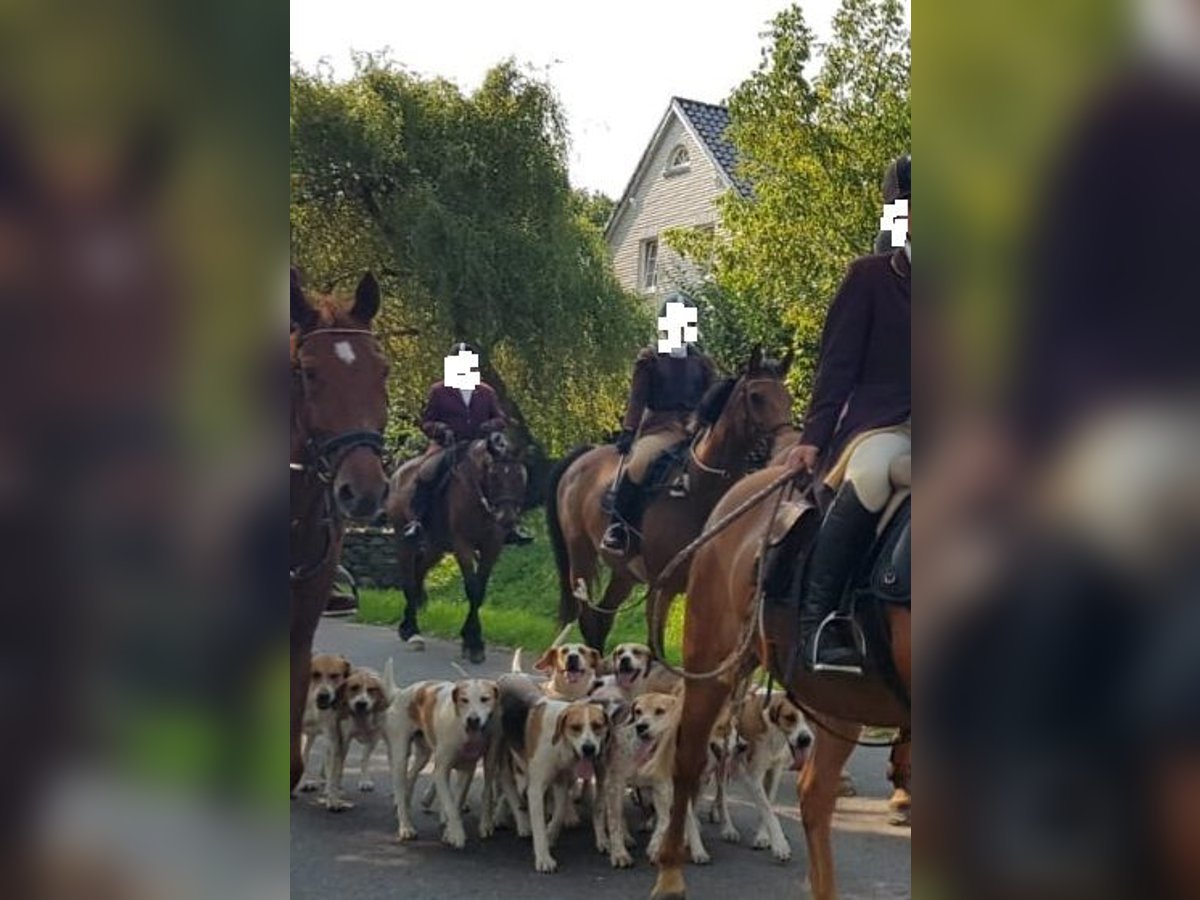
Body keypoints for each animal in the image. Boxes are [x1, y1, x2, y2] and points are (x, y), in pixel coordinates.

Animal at [384, 434, 525, 662]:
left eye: (520, 476)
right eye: (494, 476)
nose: (507, 519)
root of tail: (398, 473)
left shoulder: (492, 546)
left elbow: (480, 590)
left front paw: (471, 639)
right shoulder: (463, 545)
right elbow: (472, 588)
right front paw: (473, 643)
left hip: (436, 546)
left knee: (419, 570)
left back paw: (409, 621)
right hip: (404, 539)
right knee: (408, 577)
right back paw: (412, 630)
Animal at [547, 348, 792, 652]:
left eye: (787, 398)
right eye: (756, 396)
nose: (783, 445)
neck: (698, 489)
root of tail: (582, 458)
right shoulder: (661, 587)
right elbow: (655, 648)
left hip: (624, 573)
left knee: (602, 620)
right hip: (581, 560)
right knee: (589, 619)